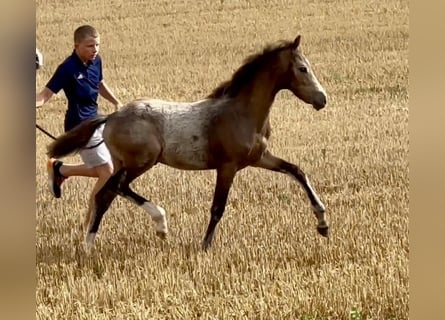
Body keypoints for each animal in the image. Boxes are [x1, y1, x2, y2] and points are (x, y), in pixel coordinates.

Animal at [46, 33, 328, 252]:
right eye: (303, 68)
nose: (322, 99)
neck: (242, 113)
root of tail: (112, 116)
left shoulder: (259, 158)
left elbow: (297, 171)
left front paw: (323, 223)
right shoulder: (227, 167)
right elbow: (217, 207)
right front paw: (205, 246)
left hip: (124, 163)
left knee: (106, 194)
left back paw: (95, 242)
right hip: (142, 161)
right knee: (113, 189)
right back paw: (152, 226)